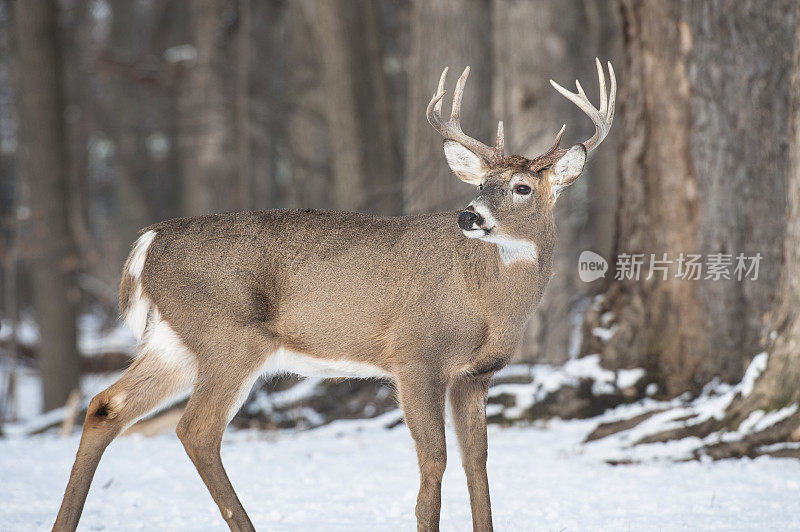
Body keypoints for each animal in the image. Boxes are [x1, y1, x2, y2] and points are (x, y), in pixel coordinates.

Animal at [56, 60, 616, 528]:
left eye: (522, 188)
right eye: (481, 183)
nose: (469, 215)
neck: (488, 302)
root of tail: (148, 241)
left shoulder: (474, 376)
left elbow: (477, 465)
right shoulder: (415, 357)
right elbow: (434, 461)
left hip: (175, 339)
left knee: (106, 406)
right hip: (228, 336)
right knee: (197, 429)